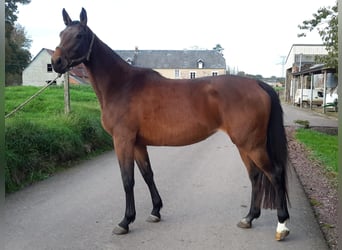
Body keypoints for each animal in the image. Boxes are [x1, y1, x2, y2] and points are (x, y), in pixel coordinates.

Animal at [51, 8, 288, 241]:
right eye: (61, 34)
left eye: (79, 35)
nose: (56, 62)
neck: (122, 85)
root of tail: (258, 84)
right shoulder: (138, 143)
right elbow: (147, 175)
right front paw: (155, 211)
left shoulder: (123, 140)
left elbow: (128, 180)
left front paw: (125, 222)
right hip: (244, 144)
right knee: (255, 176)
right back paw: (249, 218)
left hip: (252, 144)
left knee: (275, 174)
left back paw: (282, 225)